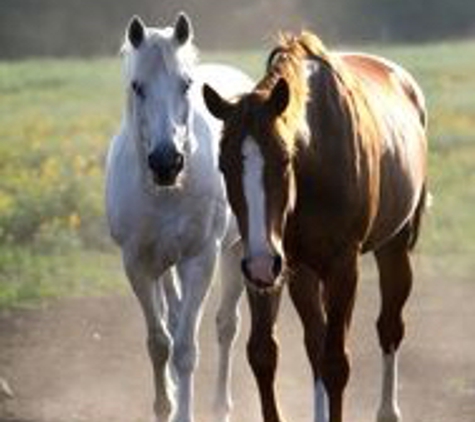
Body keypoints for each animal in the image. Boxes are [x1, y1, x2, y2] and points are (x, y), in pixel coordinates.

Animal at [104, 12, 253, 422]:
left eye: (186, 85)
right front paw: (164, 406)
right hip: (164, 264)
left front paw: (183, 410)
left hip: (234, 249)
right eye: (137, 86)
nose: (166, 162)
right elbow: (159, 342)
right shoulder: (138, 264)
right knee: (173, 319)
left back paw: (220, 406)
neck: (165, 193)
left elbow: (185, 349)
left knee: (226, 325)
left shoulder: (200, 259)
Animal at [203, 32, 430, 422]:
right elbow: (264, 353)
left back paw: (388, 410)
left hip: (393, 246)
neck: (318, 157)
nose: (261, 262)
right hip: (299, 270)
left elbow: (336, 363)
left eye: (284, 159)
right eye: (223, 164)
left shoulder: (341, 266)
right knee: (315, 341)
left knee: (388, 327)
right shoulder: (275, 265)